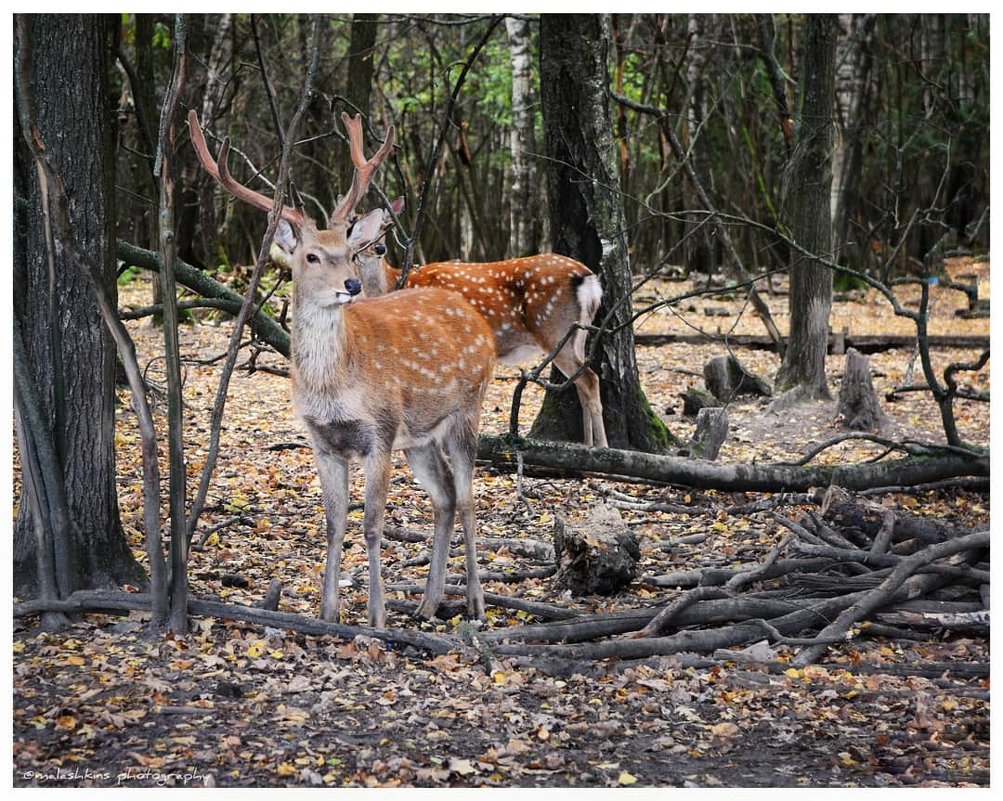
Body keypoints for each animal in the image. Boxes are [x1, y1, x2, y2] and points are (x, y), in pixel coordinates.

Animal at [188, 109, 493, 629]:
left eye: (350, 253)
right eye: (311, 255)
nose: (350, 284)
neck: (333, 386)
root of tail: (481, 323)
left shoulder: (380, 432)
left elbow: (371, 525)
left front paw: (376, 616)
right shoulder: (323, 441)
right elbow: (333, 524)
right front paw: (328, 612)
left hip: (467, 409)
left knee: (471, 497)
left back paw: (474, 601)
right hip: (420, 436)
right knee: (446, 497)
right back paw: (428, 603)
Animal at [349, 199, 605, 447]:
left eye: (387, 226)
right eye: (353, 225)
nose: (378, 248)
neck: (393, 284)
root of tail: (588, 278)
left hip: (555, 330)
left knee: (590, 379)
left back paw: (602, 448)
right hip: (578, 334)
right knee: (581, 381)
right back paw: (586, 445)